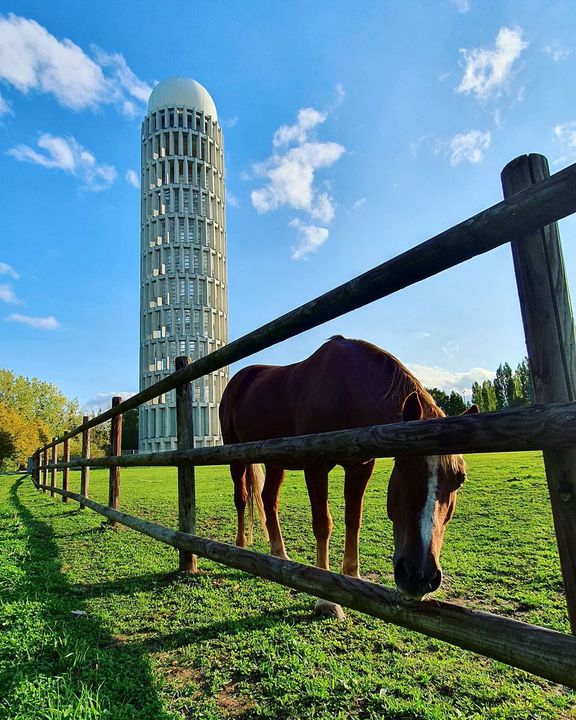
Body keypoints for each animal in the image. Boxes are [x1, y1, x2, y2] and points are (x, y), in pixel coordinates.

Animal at [218, 334, 474, 612]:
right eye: (403, 466)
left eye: (459, 480)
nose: (419, 577)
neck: (347, 390)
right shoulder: (316, 466)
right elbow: (323, 524)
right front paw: (326, 599)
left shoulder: (360, 466)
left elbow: (354, 520)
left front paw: (353, 577)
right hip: (235, 456)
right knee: (241, 498)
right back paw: (240, 547)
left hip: (276, 461)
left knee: (268, 499)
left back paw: (280, 554)